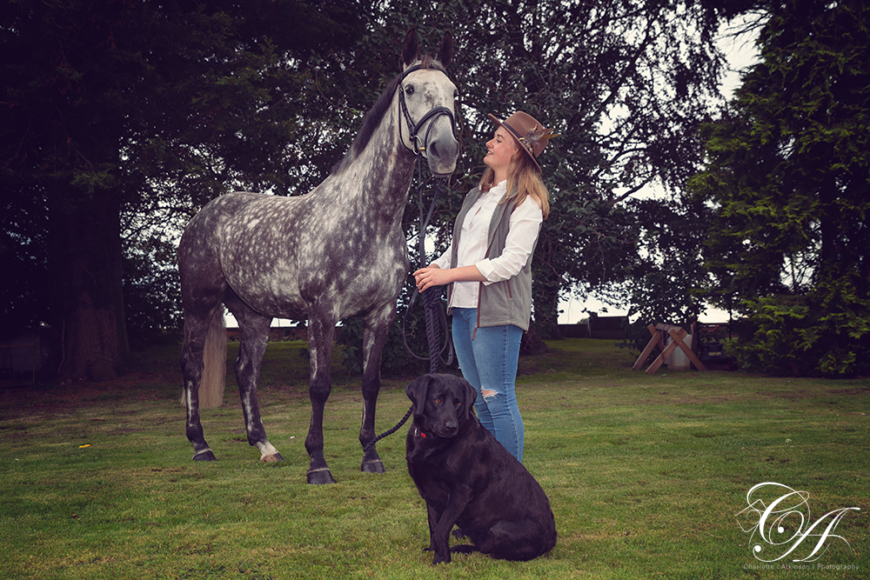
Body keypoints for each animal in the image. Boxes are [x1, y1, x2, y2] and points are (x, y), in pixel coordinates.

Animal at [179, 31, 464, 484]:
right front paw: (318, 463)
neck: (367, 218)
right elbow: (319, 386)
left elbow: (370, 383)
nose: (444, 151)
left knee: (245, 373)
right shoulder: (322, 312)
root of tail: (203, 216)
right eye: (409, 89)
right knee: (192, 367)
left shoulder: (380, 313)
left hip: (254, 315)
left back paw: (265, 446)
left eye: (454, 93)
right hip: (199, 303)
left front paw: (370, 456)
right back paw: (201, 446)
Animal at [404, 372, 556, 568]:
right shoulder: (429, 494)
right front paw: (433, 550)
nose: (451, 427)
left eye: (458, 403)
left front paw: (441, 559)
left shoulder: (460, 493)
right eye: (437, 400)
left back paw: (461, 548)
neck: (432, 442)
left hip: (499, 529)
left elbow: (441, 528)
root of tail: (552, 540)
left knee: (487, 549)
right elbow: (434, 526)